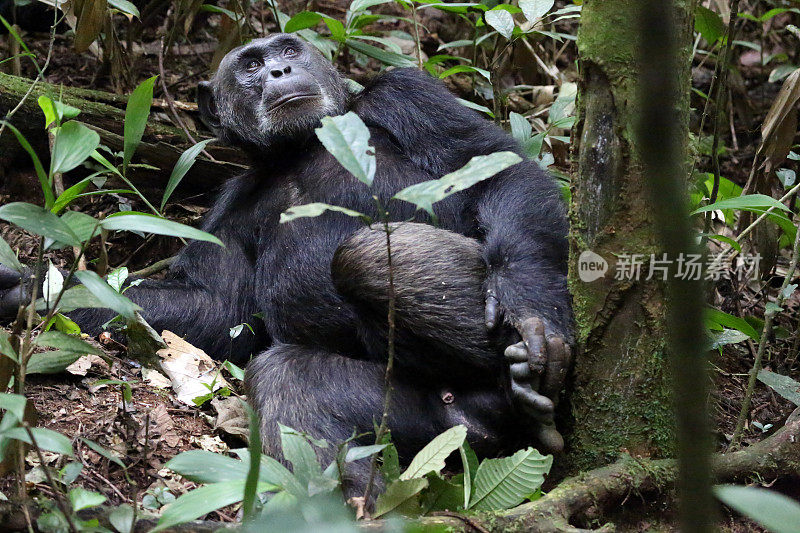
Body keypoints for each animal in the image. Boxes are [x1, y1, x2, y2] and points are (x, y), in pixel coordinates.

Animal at [1, 34, 576, 498]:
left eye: (289, 50)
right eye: (252, 65)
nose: (278, 71)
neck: (299, 145)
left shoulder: (410, 94)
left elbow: (496, 169)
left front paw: (531, 313)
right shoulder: (228, 208)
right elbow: (216, 309)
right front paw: (28, 287)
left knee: (366, 257)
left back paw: (525, 381)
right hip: (426, 421)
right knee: (287, 379)